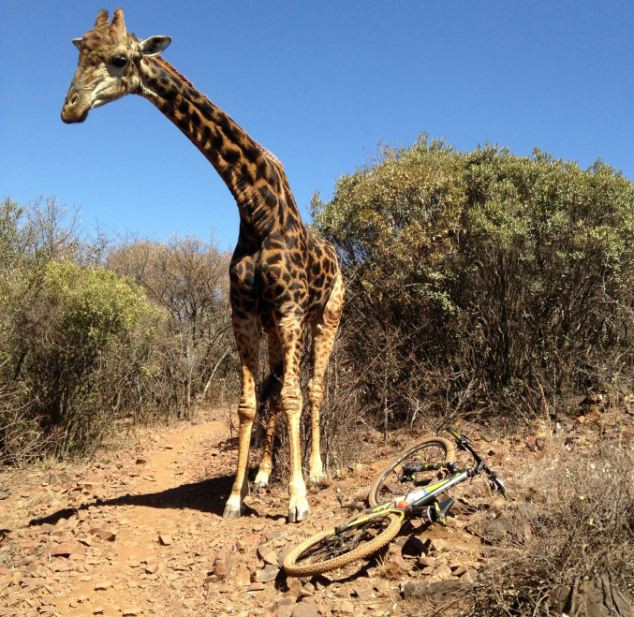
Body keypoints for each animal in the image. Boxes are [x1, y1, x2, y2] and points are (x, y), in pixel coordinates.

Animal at [61, 8, 344, 520]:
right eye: (78, 54)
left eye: (118, 59)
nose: (70, 108)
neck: (256, 210)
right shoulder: (245, 313)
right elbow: (250, 403)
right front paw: (236, 495)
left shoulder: (291, 309)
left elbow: (293, 395)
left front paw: (297, 500)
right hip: (277, 326)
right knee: (276, 388)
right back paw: (265, 474)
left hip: (326, 315)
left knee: (313, 387)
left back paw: (315, 472)